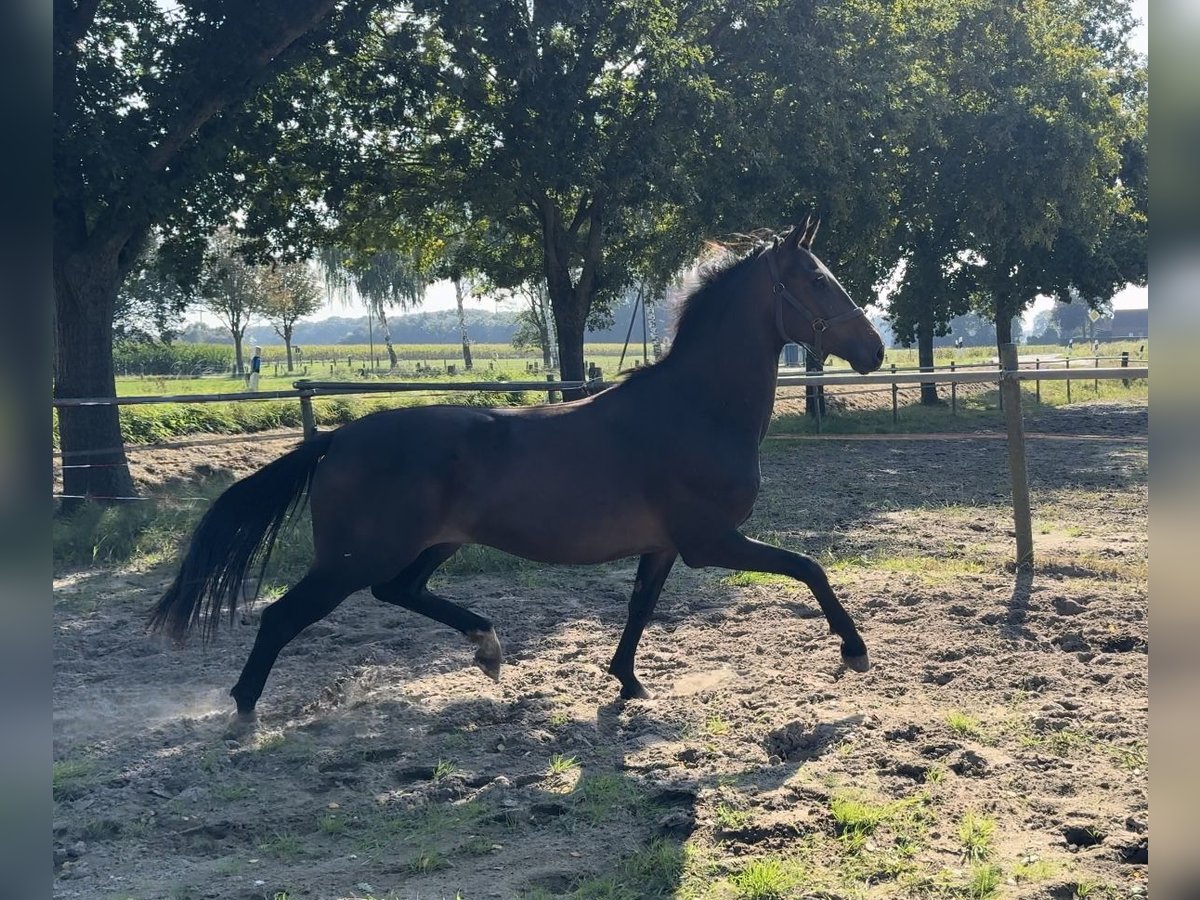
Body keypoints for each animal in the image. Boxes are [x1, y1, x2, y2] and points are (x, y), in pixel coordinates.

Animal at [150, 222, 888, 729]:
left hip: (432, 544)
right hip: (353, 558)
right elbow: (810, 568)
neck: (695, 408)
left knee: (398, 591)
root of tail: (337, 440)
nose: (875, 351)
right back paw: (244, 711)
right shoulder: (712, 543)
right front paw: (853, 651)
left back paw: (487, 646)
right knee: (285, 616)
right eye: (816, 279)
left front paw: (626, 682)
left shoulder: (665, 546)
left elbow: (639, 608)